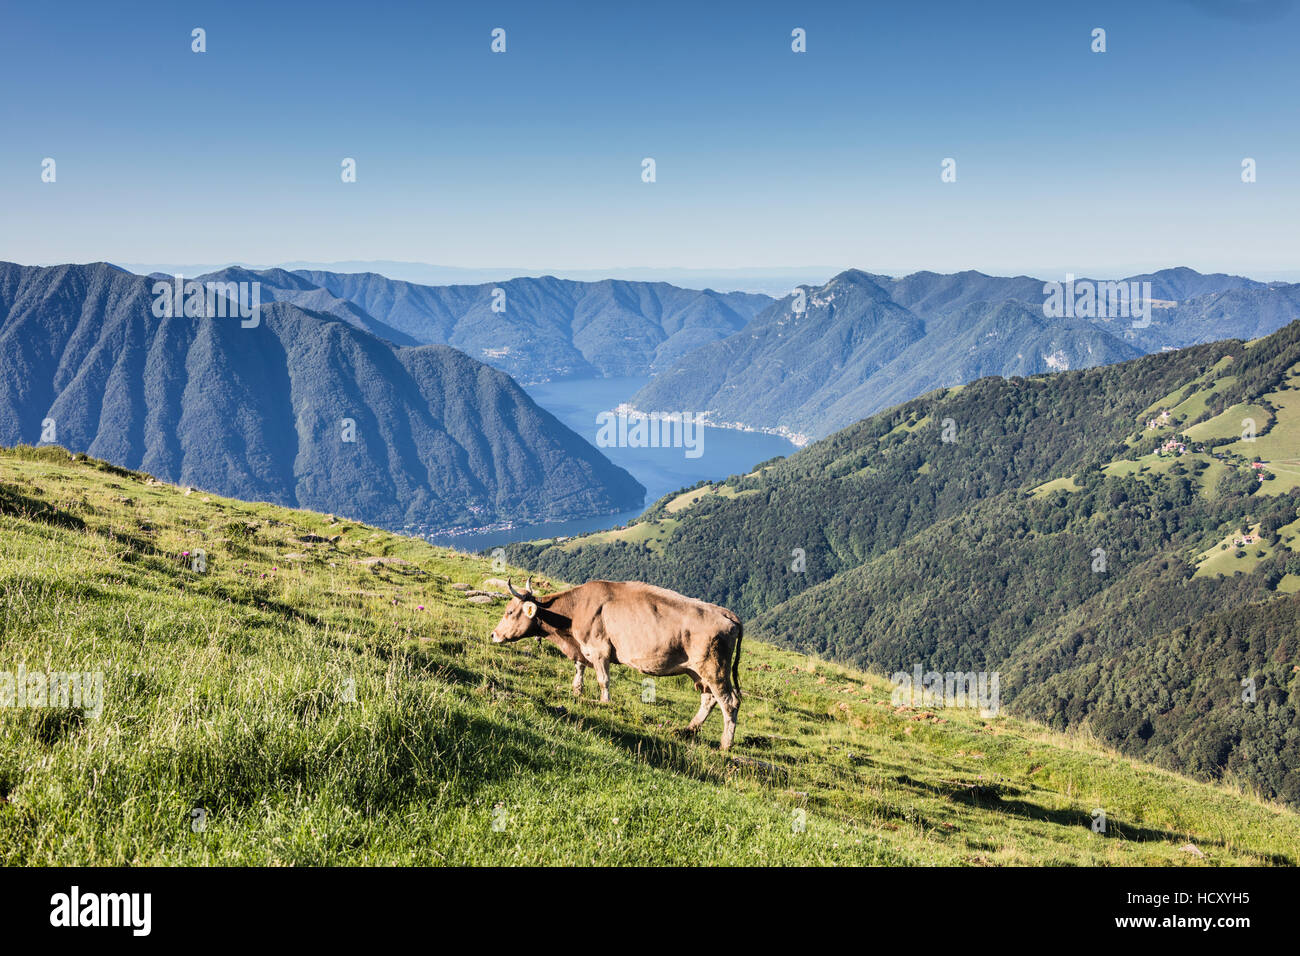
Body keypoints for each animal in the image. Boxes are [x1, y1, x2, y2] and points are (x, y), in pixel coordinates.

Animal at [491, 580, 748, 749]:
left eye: (509, 611)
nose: (494, 634)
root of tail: (727, 613)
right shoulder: (583, 649)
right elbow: (579, 668)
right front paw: (577, 691)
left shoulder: (599, 649)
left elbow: (603, 680)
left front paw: (604, 703)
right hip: (698, 671)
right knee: (709, 698)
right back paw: (688, 729)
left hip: (714, 668)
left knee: (729, 702)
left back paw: (725, 744)